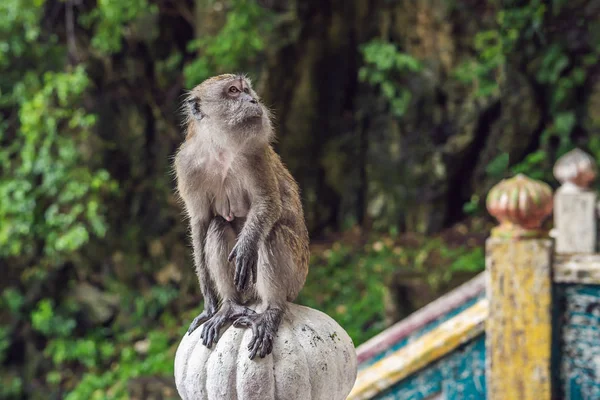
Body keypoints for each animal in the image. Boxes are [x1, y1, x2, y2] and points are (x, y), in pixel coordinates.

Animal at [171, 74, 308, 360]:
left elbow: (268, 203)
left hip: (297, 276)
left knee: (270, 234)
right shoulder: (186, 166)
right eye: (233, 91)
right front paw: (209, 303)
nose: (253, 100)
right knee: (217, 226)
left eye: (247, 89)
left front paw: (245, 247)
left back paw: (271, 311)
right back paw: (230, 306)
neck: (219, 147)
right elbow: (200, 224)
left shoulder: (254, 152)